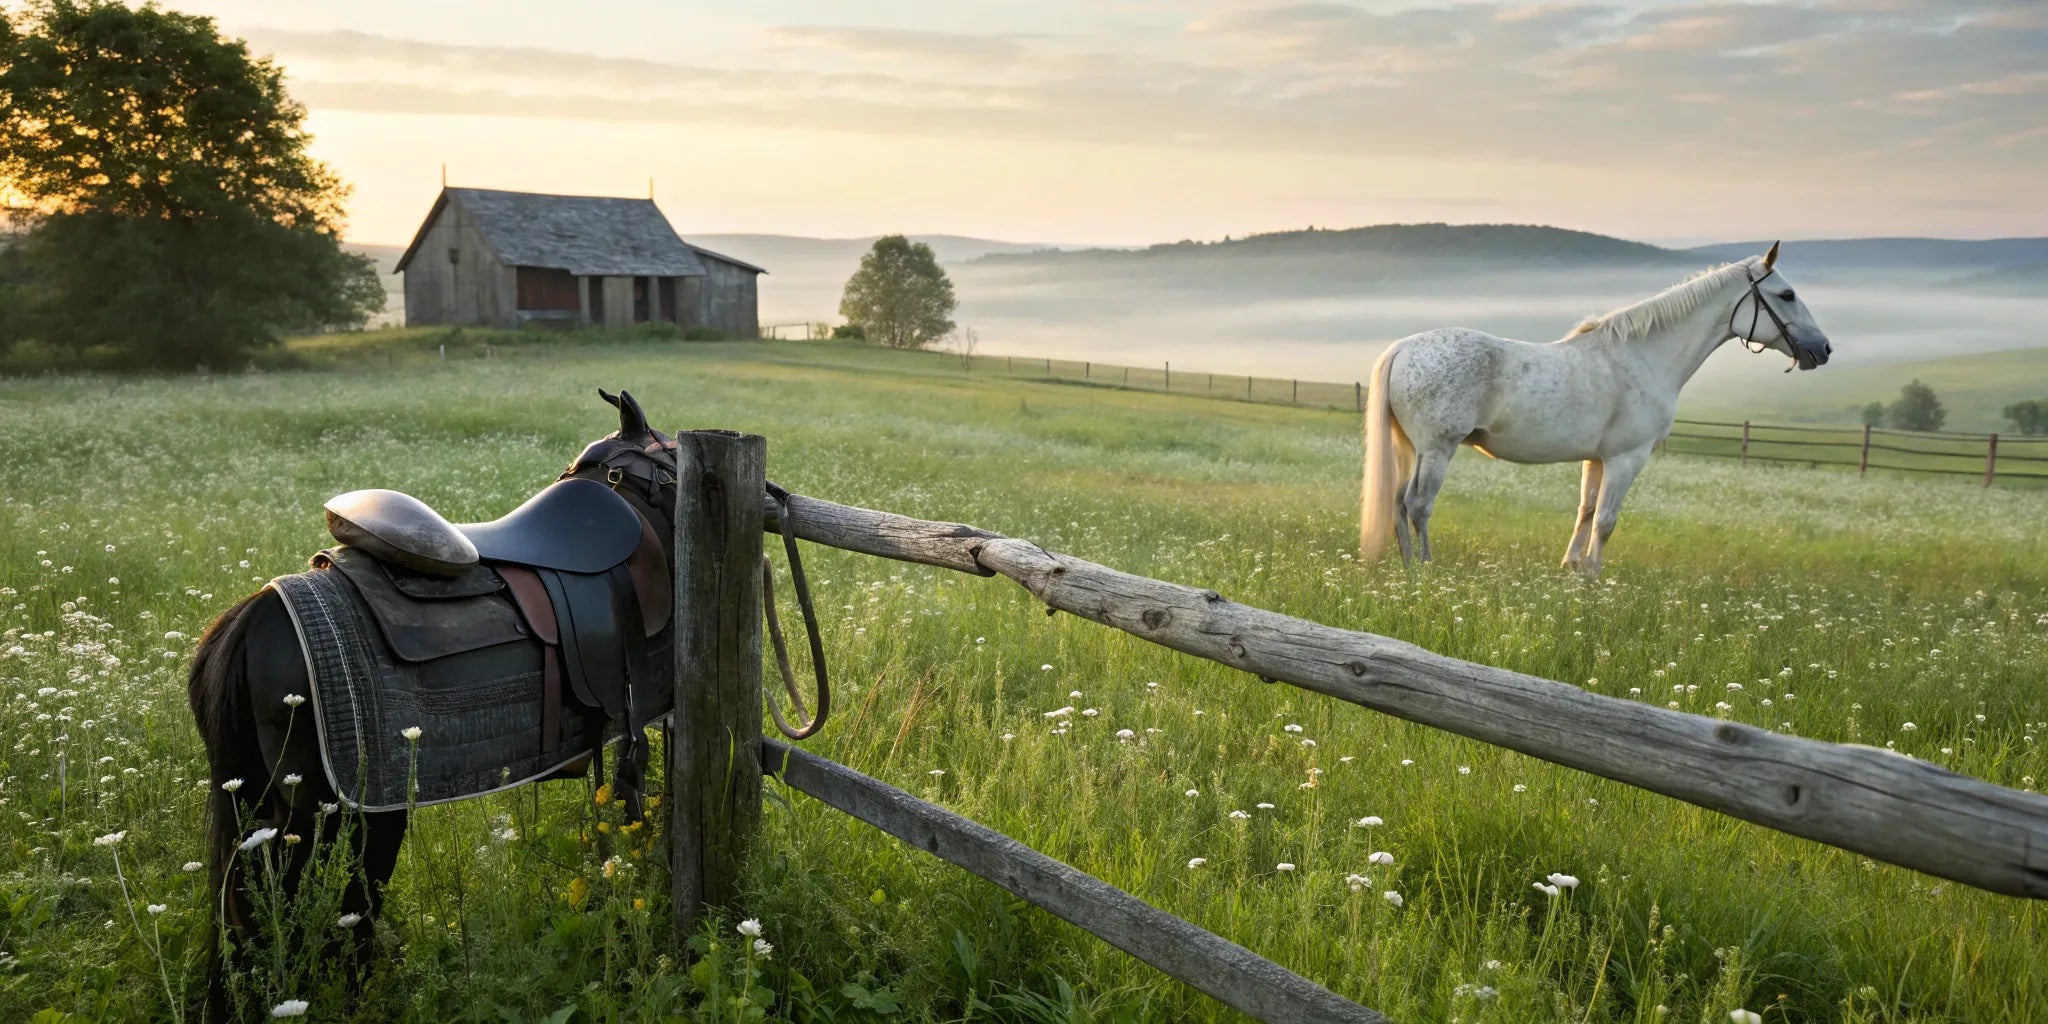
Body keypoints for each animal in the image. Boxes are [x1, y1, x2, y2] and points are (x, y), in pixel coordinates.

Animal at [1359, 242, 1833, 576]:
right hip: (1438, 450)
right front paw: (1592, 578)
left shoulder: (1597, 459)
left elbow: (1585, 512)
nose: (1823, 349)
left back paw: (1406, 566)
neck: (1643, 356)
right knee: (1418, 505)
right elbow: (1606, 520)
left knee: (1398, 502)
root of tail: (1403, 348)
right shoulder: (1627, 458)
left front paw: (1572, 568)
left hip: (1411, 449)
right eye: (1787, 294)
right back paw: (1425, 569)